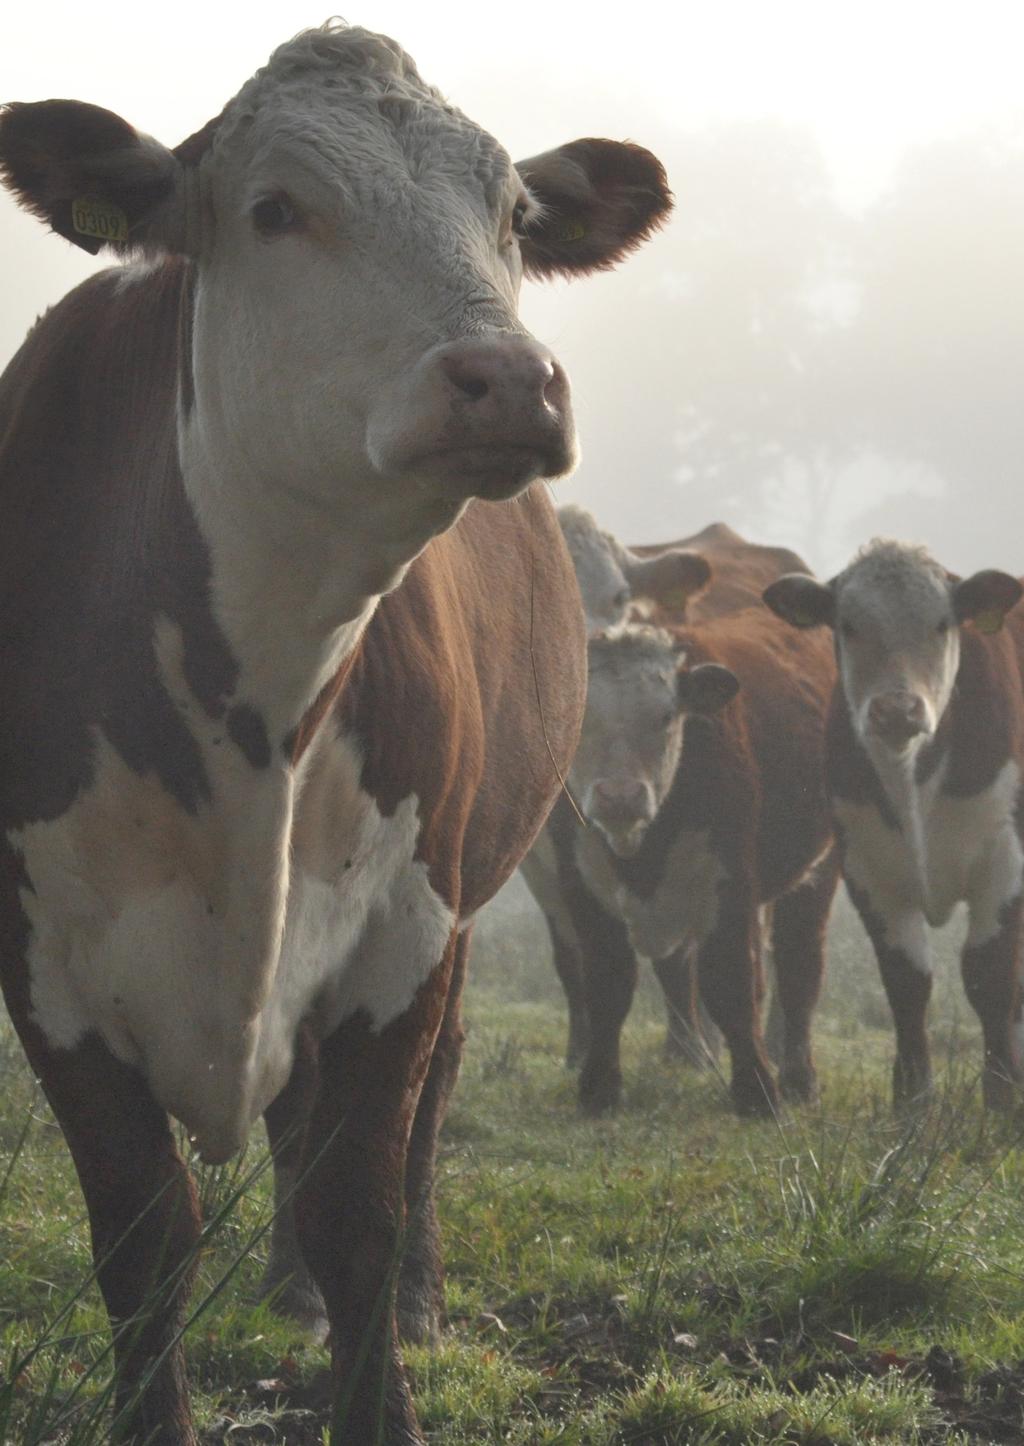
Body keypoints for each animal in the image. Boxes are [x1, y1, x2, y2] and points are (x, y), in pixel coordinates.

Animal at [0, 25, 671, 1446]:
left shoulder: (403, 929)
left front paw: (377, 1340)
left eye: (513, 216)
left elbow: (356, 1201)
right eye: (275, 210)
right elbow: (143, 1230)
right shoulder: (42, 958)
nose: (510, 379)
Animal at [520, 508, 815, 1064]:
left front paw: (688, 1049)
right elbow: (570, 954)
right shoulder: (543, 861)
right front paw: (580, 1050)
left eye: (618, 597)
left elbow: (681, 956)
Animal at [564, 604, 838, 1110]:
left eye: (666, 715)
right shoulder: (581, 886)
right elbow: (608, 984)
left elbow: (730, 984)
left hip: (820, 869)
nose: (620, 796)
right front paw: (599, 1087)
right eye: (580, 716)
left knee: (799, 967)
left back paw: (798, 1077)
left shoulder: (729, 887)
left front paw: (757, 1092)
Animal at [757, 537, 1024, 1110]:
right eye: (847, 624)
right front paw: (913, 1097)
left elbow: (988, 974)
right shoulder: (868, 868)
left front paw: (1001, 1095)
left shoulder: (1004, 859)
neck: (913, 778)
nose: (897, 710)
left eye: (943, 623)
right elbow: (907, 981)